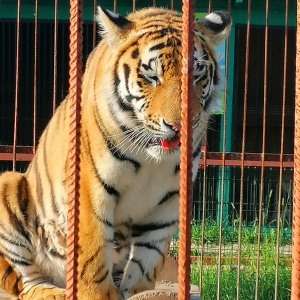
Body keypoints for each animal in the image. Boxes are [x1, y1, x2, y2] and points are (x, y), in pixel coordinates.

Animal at [0, 5, 232, 300]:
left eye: (196, 75)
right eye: (151, 76)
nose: (178, 126)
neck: (151, 160)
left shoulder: (168, 202)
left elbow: (148, 261)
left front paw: (137, 291)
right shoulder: (89, 190)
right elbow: (93, 257)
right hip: (8, 187)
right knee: (25, 282)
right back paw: (53, 292)